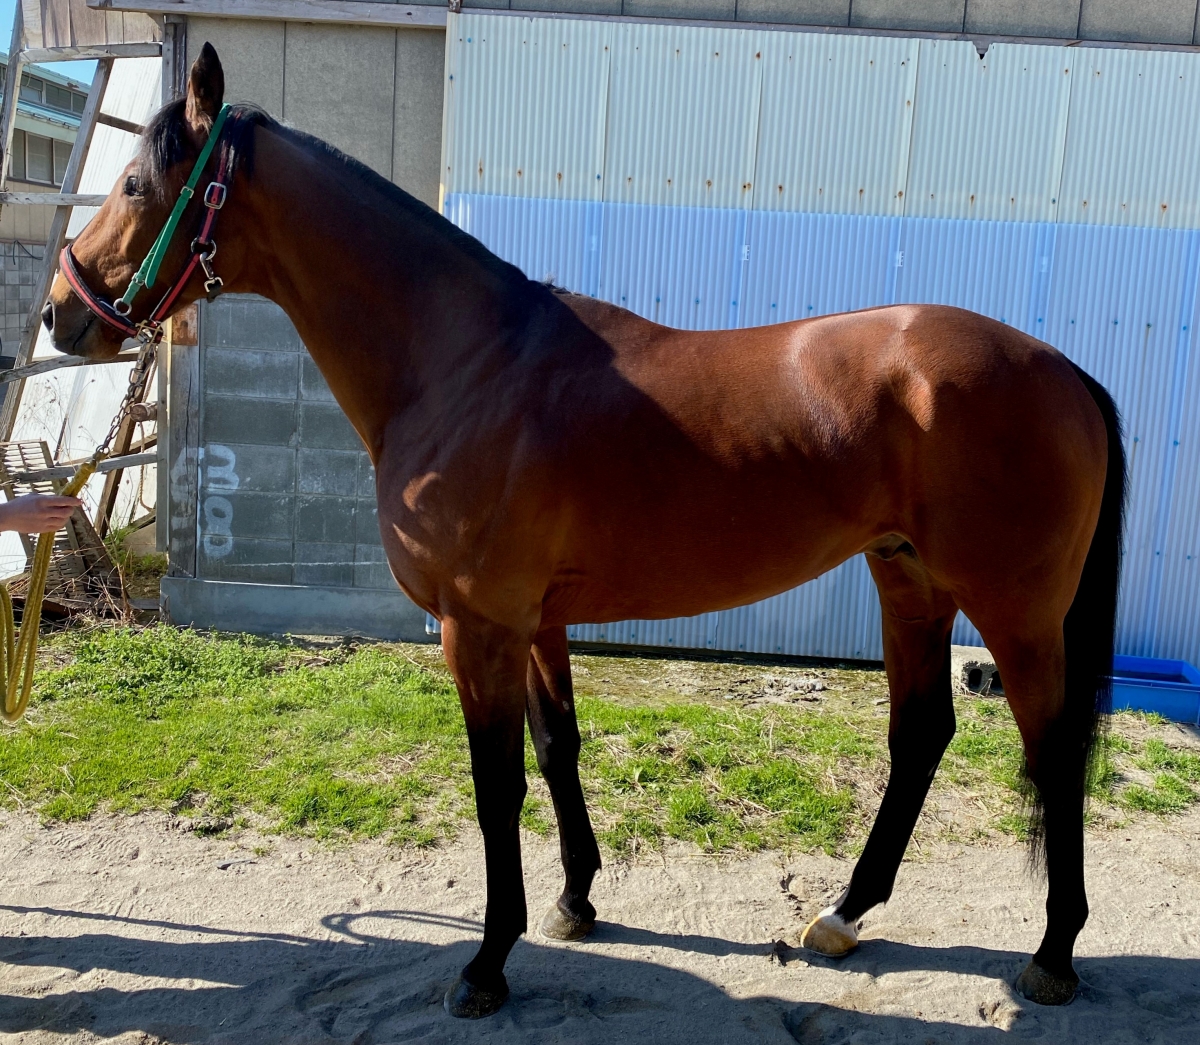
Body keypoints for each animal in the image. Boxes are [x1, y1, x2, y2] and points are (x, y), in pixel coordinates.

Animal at [42, 44, 1124, 1019]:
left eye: (137, 183)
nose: (61, 314)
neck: (468, 364)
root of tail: (1065, 369)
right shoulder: (535, 623)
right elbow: (557, 746)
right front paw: (574, 900)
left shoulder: (477, 627)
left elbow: (496, 784)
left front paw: (487, 962)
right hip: (910, 580)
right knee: (922, 733)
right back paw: (844, 914)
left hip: (1014, 607)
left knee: (1054, 746)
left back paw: (1052, 955)